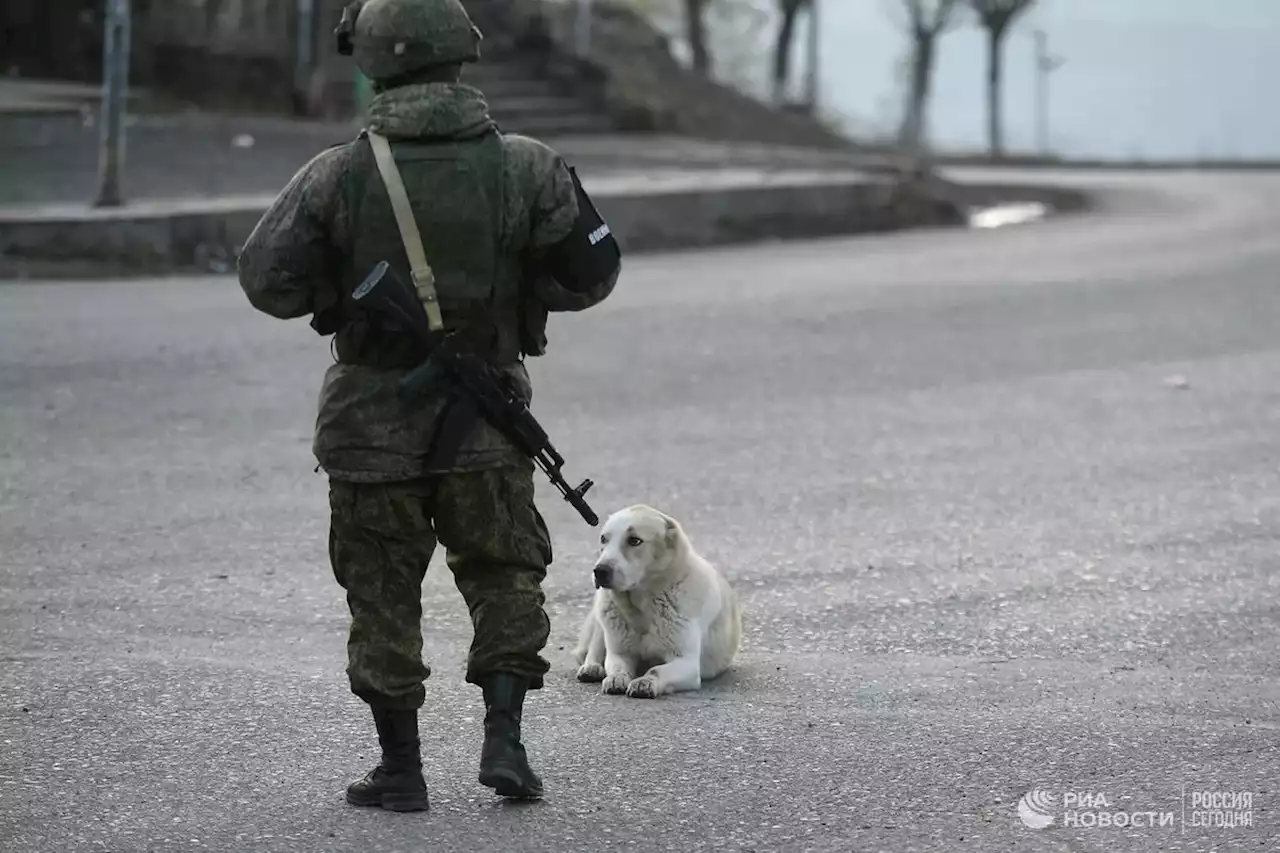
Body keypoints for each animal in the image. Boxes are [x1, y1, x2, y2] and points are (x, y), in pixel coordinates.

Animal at [570, 502, 742, 696]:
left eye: (635, 541)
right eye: (603, 539)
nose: (599, 571)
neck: (641, 608)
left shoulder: (687, 663)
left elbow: (655, 670)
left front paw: (644, 682)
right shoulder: (619, 653)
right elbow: (617, 665)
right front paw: (616, 677)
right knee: (594, 646)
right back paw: (591, 667)